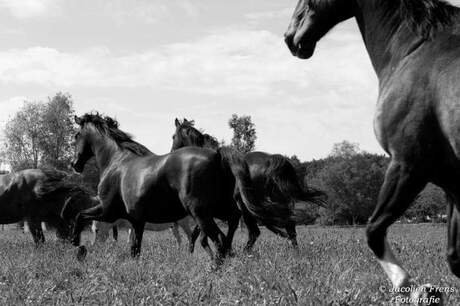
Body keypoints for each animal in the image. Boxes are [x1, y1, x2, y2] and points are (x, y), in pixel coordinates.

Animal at [70, 112, 296, 262]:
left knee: (221, 237)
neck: (116, 161)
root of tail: (217, 156)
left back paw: (218, 264)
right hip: (222, 210)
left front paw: (78, 246)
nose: (75, 164)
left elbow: (79, 216)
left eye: (76, 136)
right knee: (236, 232)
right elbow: (135, 249)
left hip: (202, 212)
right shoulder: (136, 221)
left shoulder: (107, 211)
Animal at [171, 118, 326, 250]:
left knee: (257, 232)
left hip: (250, 208)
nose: (172, 152)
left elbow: (201, 236)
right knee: (289, 227)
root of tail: (272, 160)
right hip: (274, 203)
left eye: (173, 136)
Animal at [284, 0, 460, 302]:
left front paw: (414, 288)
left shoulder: (408, 164)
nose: (290, 37)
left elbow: (373, 231)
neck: (414, 50)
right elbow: (455, 256)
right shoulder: (452, 183)